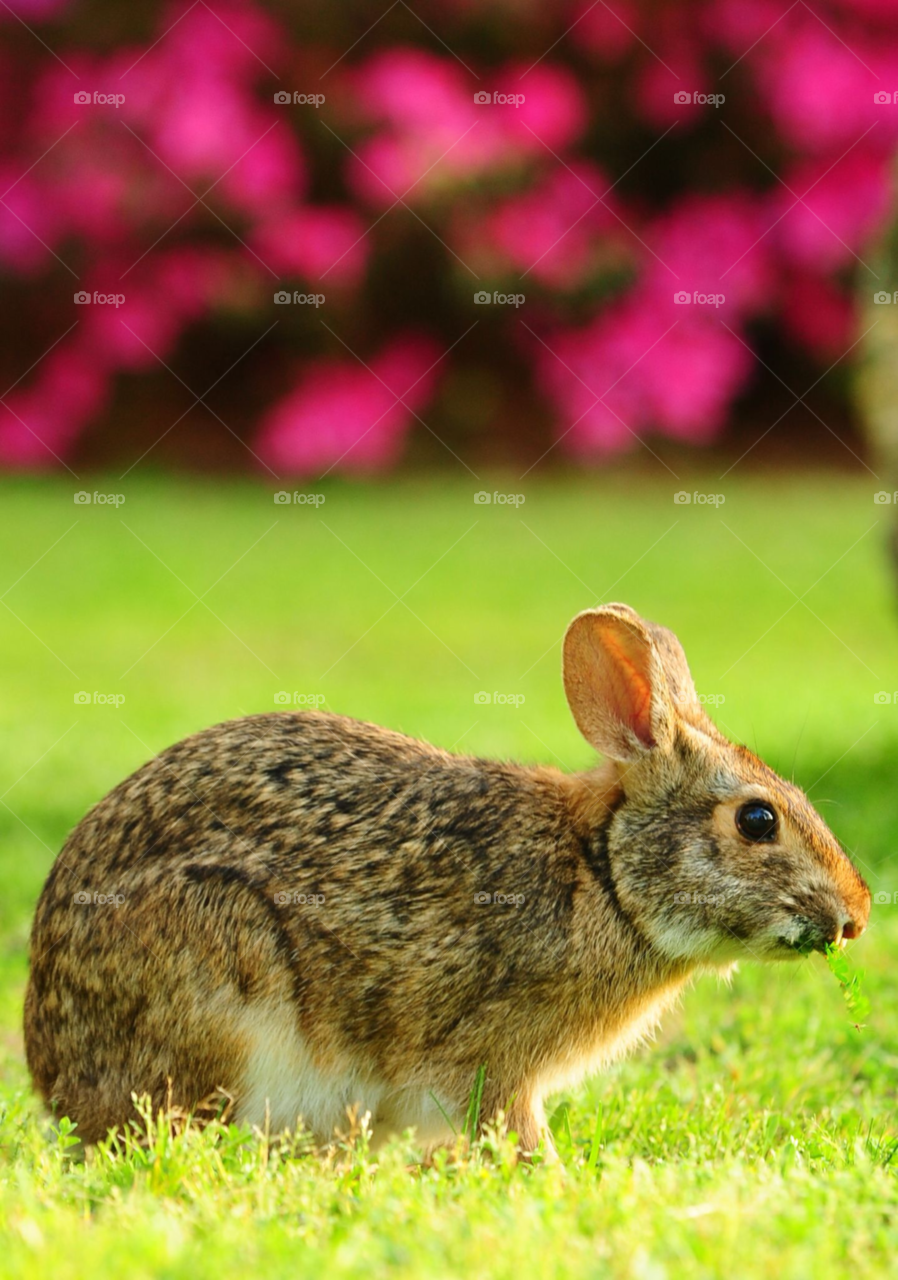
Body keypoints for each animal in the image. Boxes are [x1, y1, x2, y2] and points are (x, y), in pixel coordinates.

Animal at [26, 604, 869, 1157]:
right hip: (221, 967)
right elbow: (511, 1125)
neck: (603, 875)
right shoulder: (492, 1059)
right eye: (757, 820)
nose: (856, 915)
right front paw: (548, 1176)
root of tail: (54, 1077)